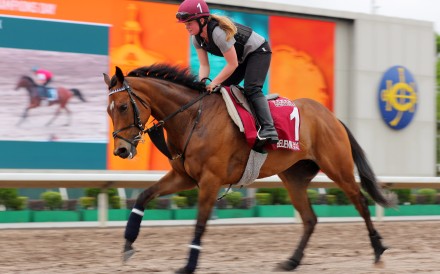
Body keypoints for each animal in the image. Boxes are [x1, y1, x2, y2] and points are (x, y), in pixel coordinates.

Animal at [105, 65, 390, 274]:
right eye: (108, 111)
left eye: (123, 106)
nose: (121, 150)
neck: (194, 117)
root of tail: (331, 116)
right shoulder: (183, 177)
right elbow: (144, 196)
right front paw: (128, 244)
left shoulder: (210, 179)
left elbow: (200, 223)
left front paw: (189, 265)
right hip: (294, 178)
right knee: (310, 219)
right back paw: (292, 261)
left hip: (337, 168)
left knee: (361, 203)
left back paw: (378, 250)